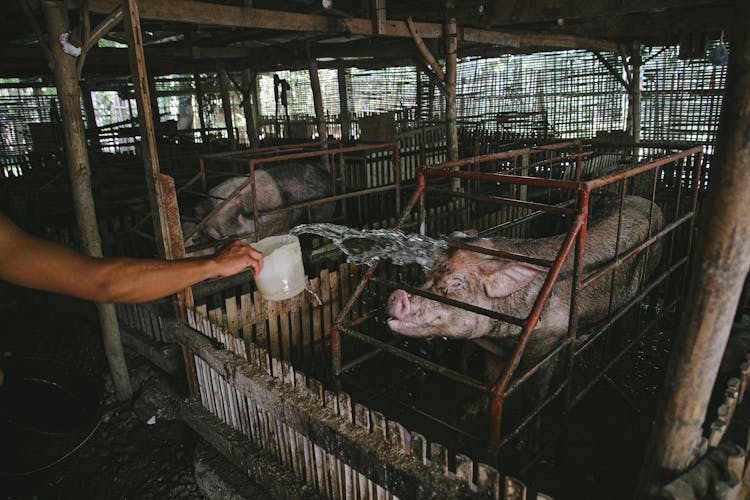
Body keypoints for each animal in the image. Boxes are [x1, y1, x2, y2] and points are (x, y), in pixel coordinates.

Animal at [388, 197, 664, 412]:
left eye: (456, 283)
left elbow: (536, 395)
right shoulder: (494, 349)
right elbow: (488, 379)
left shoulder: (549, 342)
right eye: (427, 273)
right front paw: (469, 410)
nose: (396, 296)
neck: (505, 335)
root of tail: (650, 202)